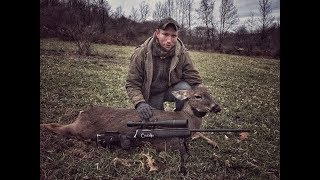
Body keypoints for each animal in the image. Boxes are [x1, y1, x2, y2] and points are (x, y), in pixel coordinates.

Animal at [40, 86, 221, 152]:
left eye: (210, 93)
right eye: (198, 96)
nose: (216, 107)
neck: (187, 119)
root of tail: (82, 112)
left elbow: (202, 135)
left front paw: (215, 143)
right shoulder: (169, 144)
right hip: (80, 129)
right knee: (58, 127)